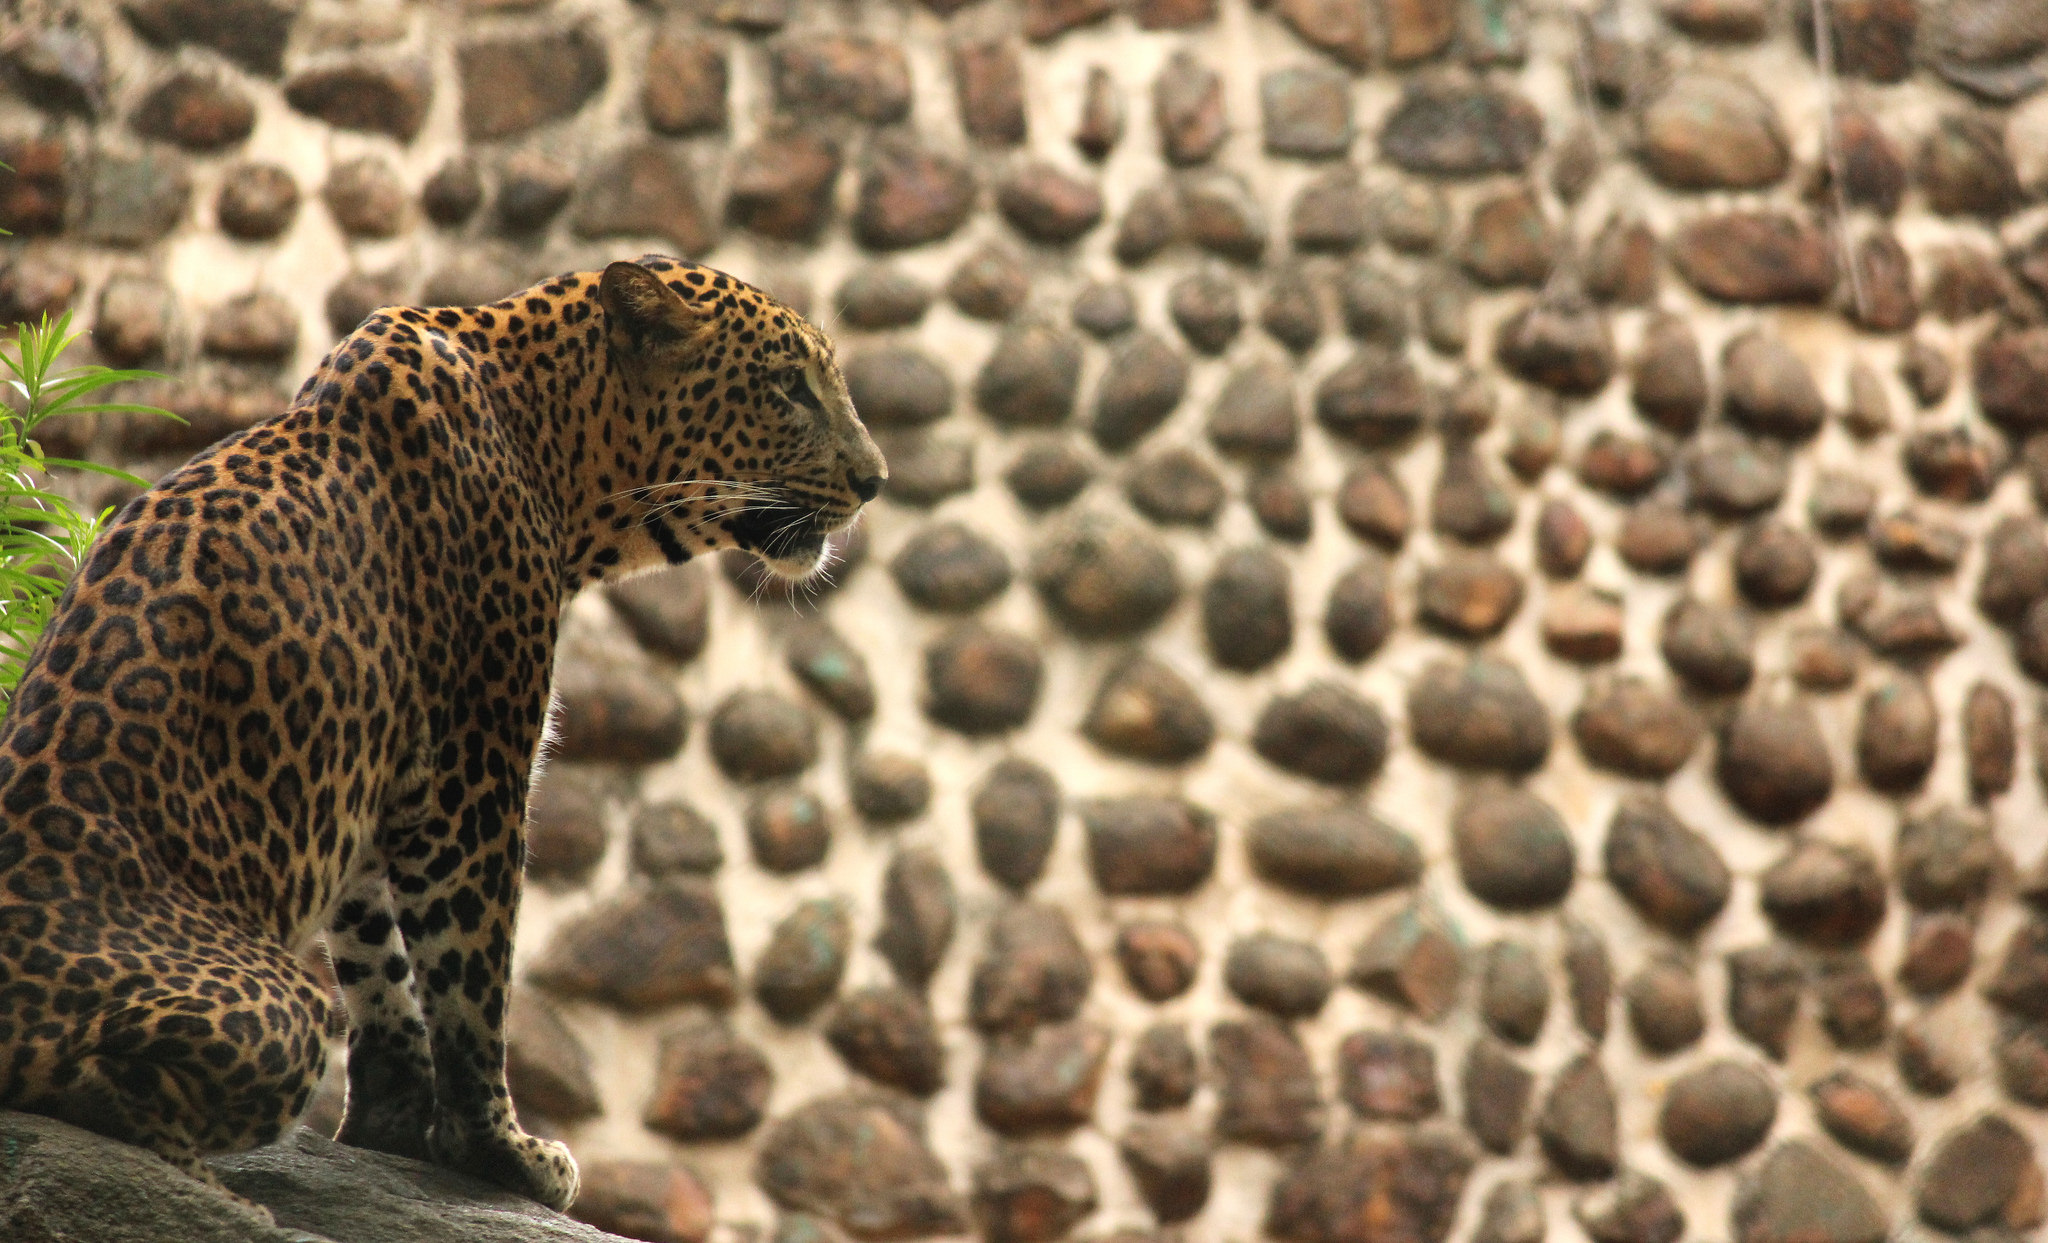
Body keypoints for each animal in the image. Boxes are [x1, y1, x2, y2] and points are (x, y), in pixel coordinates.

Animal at [0, 255, 885, 1212]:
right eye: (788, 388)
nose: (875, 479)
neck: (558, 441)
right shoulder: (475, 768)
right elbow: (471, 971)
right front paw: (497, 1150)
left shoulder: (376, 772)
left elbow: (379, 957)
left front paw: (390, 1122)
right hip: (279, 1007)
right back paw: (201, 1179)